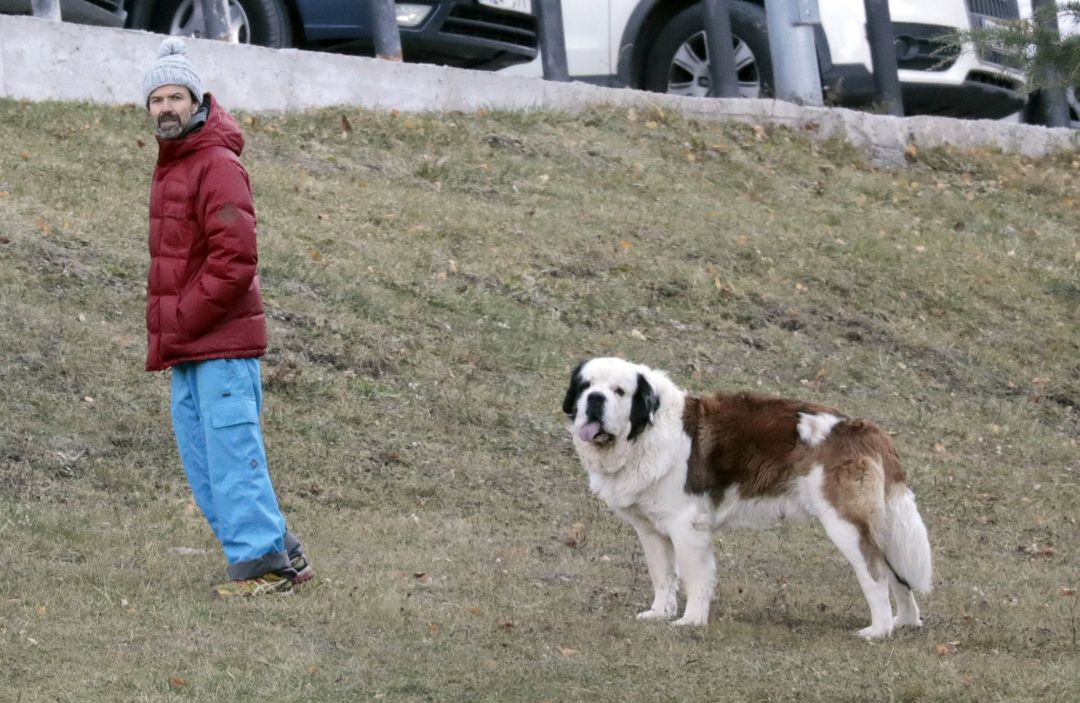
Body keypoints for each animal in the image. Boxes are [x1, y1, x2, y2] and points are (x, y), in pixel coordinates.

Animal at [565, 360, 928, 639]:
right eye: (586, 386)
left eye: (619, 391)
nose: (594, 399)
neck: (645, 432)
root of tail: (866, 429)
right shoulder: (651, 530)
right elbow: (662, 574)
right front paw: (660, 613)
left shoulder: (686, 527)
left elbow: (695, 577)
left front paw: (691, 621)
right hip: (881, 525)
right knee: (897, 573)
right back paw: (905, 622)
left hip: (846, 524)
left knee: (875, 573)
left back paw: (878, 631)